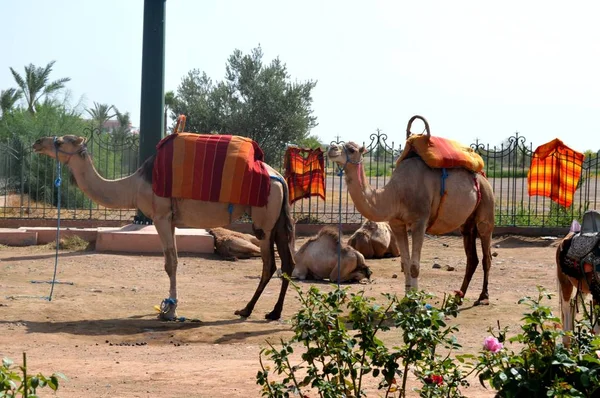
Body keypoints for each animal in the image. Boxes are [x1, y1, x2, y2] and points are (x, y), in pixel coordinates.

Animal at [32, 135, 296, 322]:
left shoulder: (160, 216)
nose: (37, 142)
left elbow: (171, 263)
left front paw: (169, 311)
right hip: (279, 218)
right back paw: (273, 312)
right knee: (288, 263)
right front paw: (168, 308)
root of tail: (279, 177)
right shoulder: (171, 220)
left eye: (59, 141)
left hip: (264, 220)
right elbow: (174, 260)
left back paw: (246, 310)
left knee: (269, 264)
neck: (134, 186)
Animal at [328, 116, 496, 304]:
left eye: (351, 149)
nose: (331, 148)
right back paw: (458, 297)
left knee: (486, 254)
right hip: (467, 222)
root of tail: (482, 177)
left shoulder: (419, 221)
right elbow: (405, 264)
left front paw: (415, 301)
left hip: (486, 207)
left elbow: (415, 266)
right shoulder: (397, 224)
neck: (395, 194)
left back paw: (483, 296)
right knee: (472, 257)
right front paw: (406, 299)